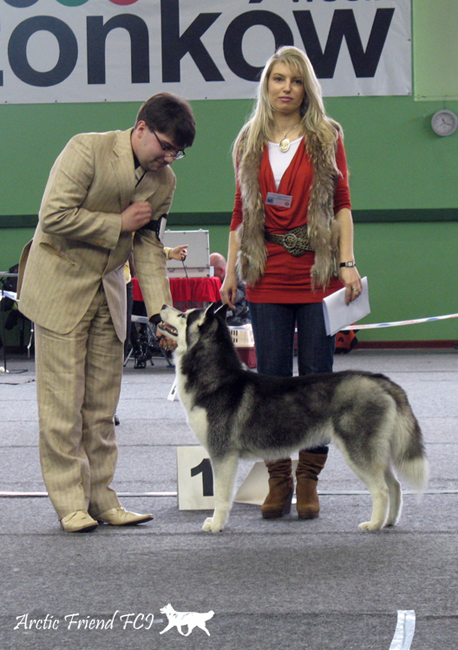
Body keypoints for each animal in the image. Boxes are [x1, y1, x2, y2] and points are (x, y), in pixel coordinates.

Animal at [158, 304, 429, 534]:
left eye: (183, 314)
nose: (161, 306)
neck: (216, 379)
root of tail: (380, 380)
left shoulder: (222, 453)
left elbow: (221, 496)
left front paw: (216, 524)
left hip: (358, 450)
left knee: (381, 489)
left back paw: (374, 524)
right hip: (377, 450)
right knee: (395, 485)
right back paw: (390, 521)